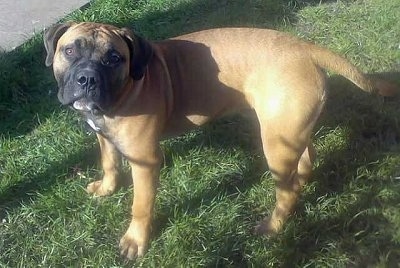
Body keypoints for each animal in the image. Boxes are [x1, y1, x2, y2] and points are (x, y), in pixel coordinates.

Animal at [42, 22, 396, 258]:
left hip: (275, 145)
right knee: (307, 156)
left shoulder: (145, 161)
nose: (86, 79)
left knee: (287, 190)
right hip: (285, 130)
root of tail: (304, 47)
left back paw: (273, 226)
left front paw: (135, 240)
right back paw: (304, 178)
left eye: (114, 58)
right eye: (69, 50)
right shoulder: (103, 136)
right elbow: (109, 163)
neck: (130, 84)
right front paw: (106, 188)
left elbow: (140, 205)